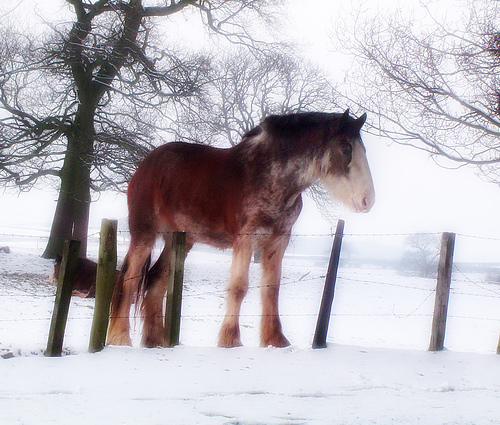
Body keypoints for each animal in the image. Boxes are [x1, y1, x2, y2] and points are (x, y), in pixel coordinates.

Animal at [107, 109, 375, 348]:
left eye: (363, 150)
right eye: (345, 148)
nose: (368, 201)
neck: (268, 174)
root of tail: (145, 164)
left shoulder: (278, 241)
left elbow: (271, 289)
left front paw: (275, 340)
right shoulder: (245, 239)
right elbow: (238, 287)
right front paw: (230, 339)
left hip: (179, 240)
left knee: (155, 282)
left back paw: (155, 342)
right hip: (145, 234)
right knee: (129, 280)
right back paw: (120, 338)